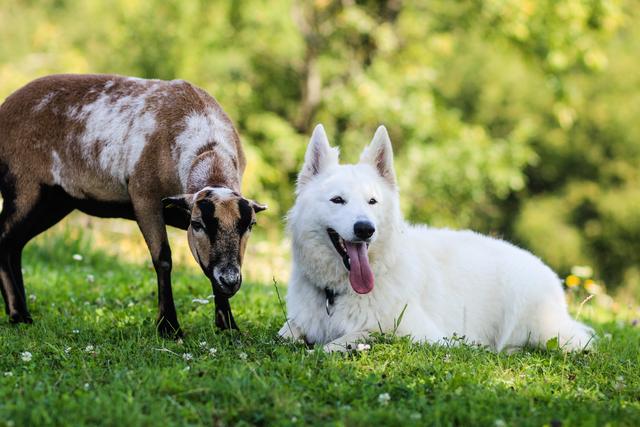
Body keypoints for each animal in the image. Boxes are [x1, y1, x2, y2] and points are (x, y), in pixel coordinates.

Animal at [0, 74, 264, 338]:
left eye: (250, 225)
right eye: (197, 224)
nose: (230, 280)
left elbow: (209, 270)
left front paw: (228, 327)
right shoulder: (144, 197)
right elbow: (163, 259)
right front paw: (169, 327)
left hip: (54, 201)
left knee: (15, 244)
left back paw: (22, 312)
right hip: (23, 187)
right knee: (5, 239)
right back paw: (18, 314)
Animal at [280, 125, 596, 352]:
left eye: (372, 201)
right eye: (337, 200)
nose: (365, 229)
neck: (336, 294)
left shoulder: (418, 332)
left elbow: (357, 335)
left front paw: (325, 349)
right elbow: (286, 332)